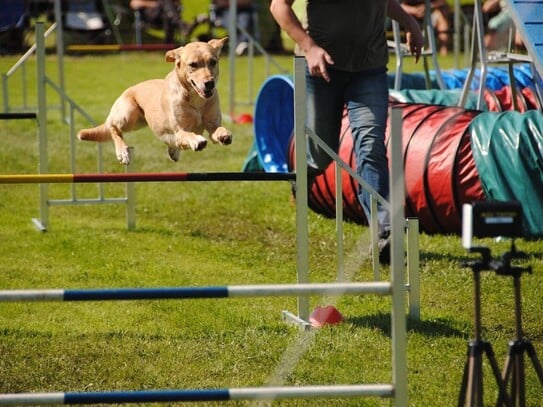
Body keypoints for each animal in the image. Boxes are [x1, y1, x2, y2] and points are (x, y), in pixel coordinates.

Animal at [78, 37, 232, 165]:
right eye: (193, 64)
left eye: (213, 62)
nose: (210, 83)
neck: (195, 99)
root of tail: (129, 88)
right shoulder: (180, 131)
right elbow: (188, 135)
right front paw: (197, 140)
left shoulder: (212, 125)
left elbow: (218, 129)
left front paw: (224, 135)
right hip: (128, 115)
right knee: (113, 128)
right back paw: (123, 152)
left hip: (139, 122)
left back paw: (173, 151)